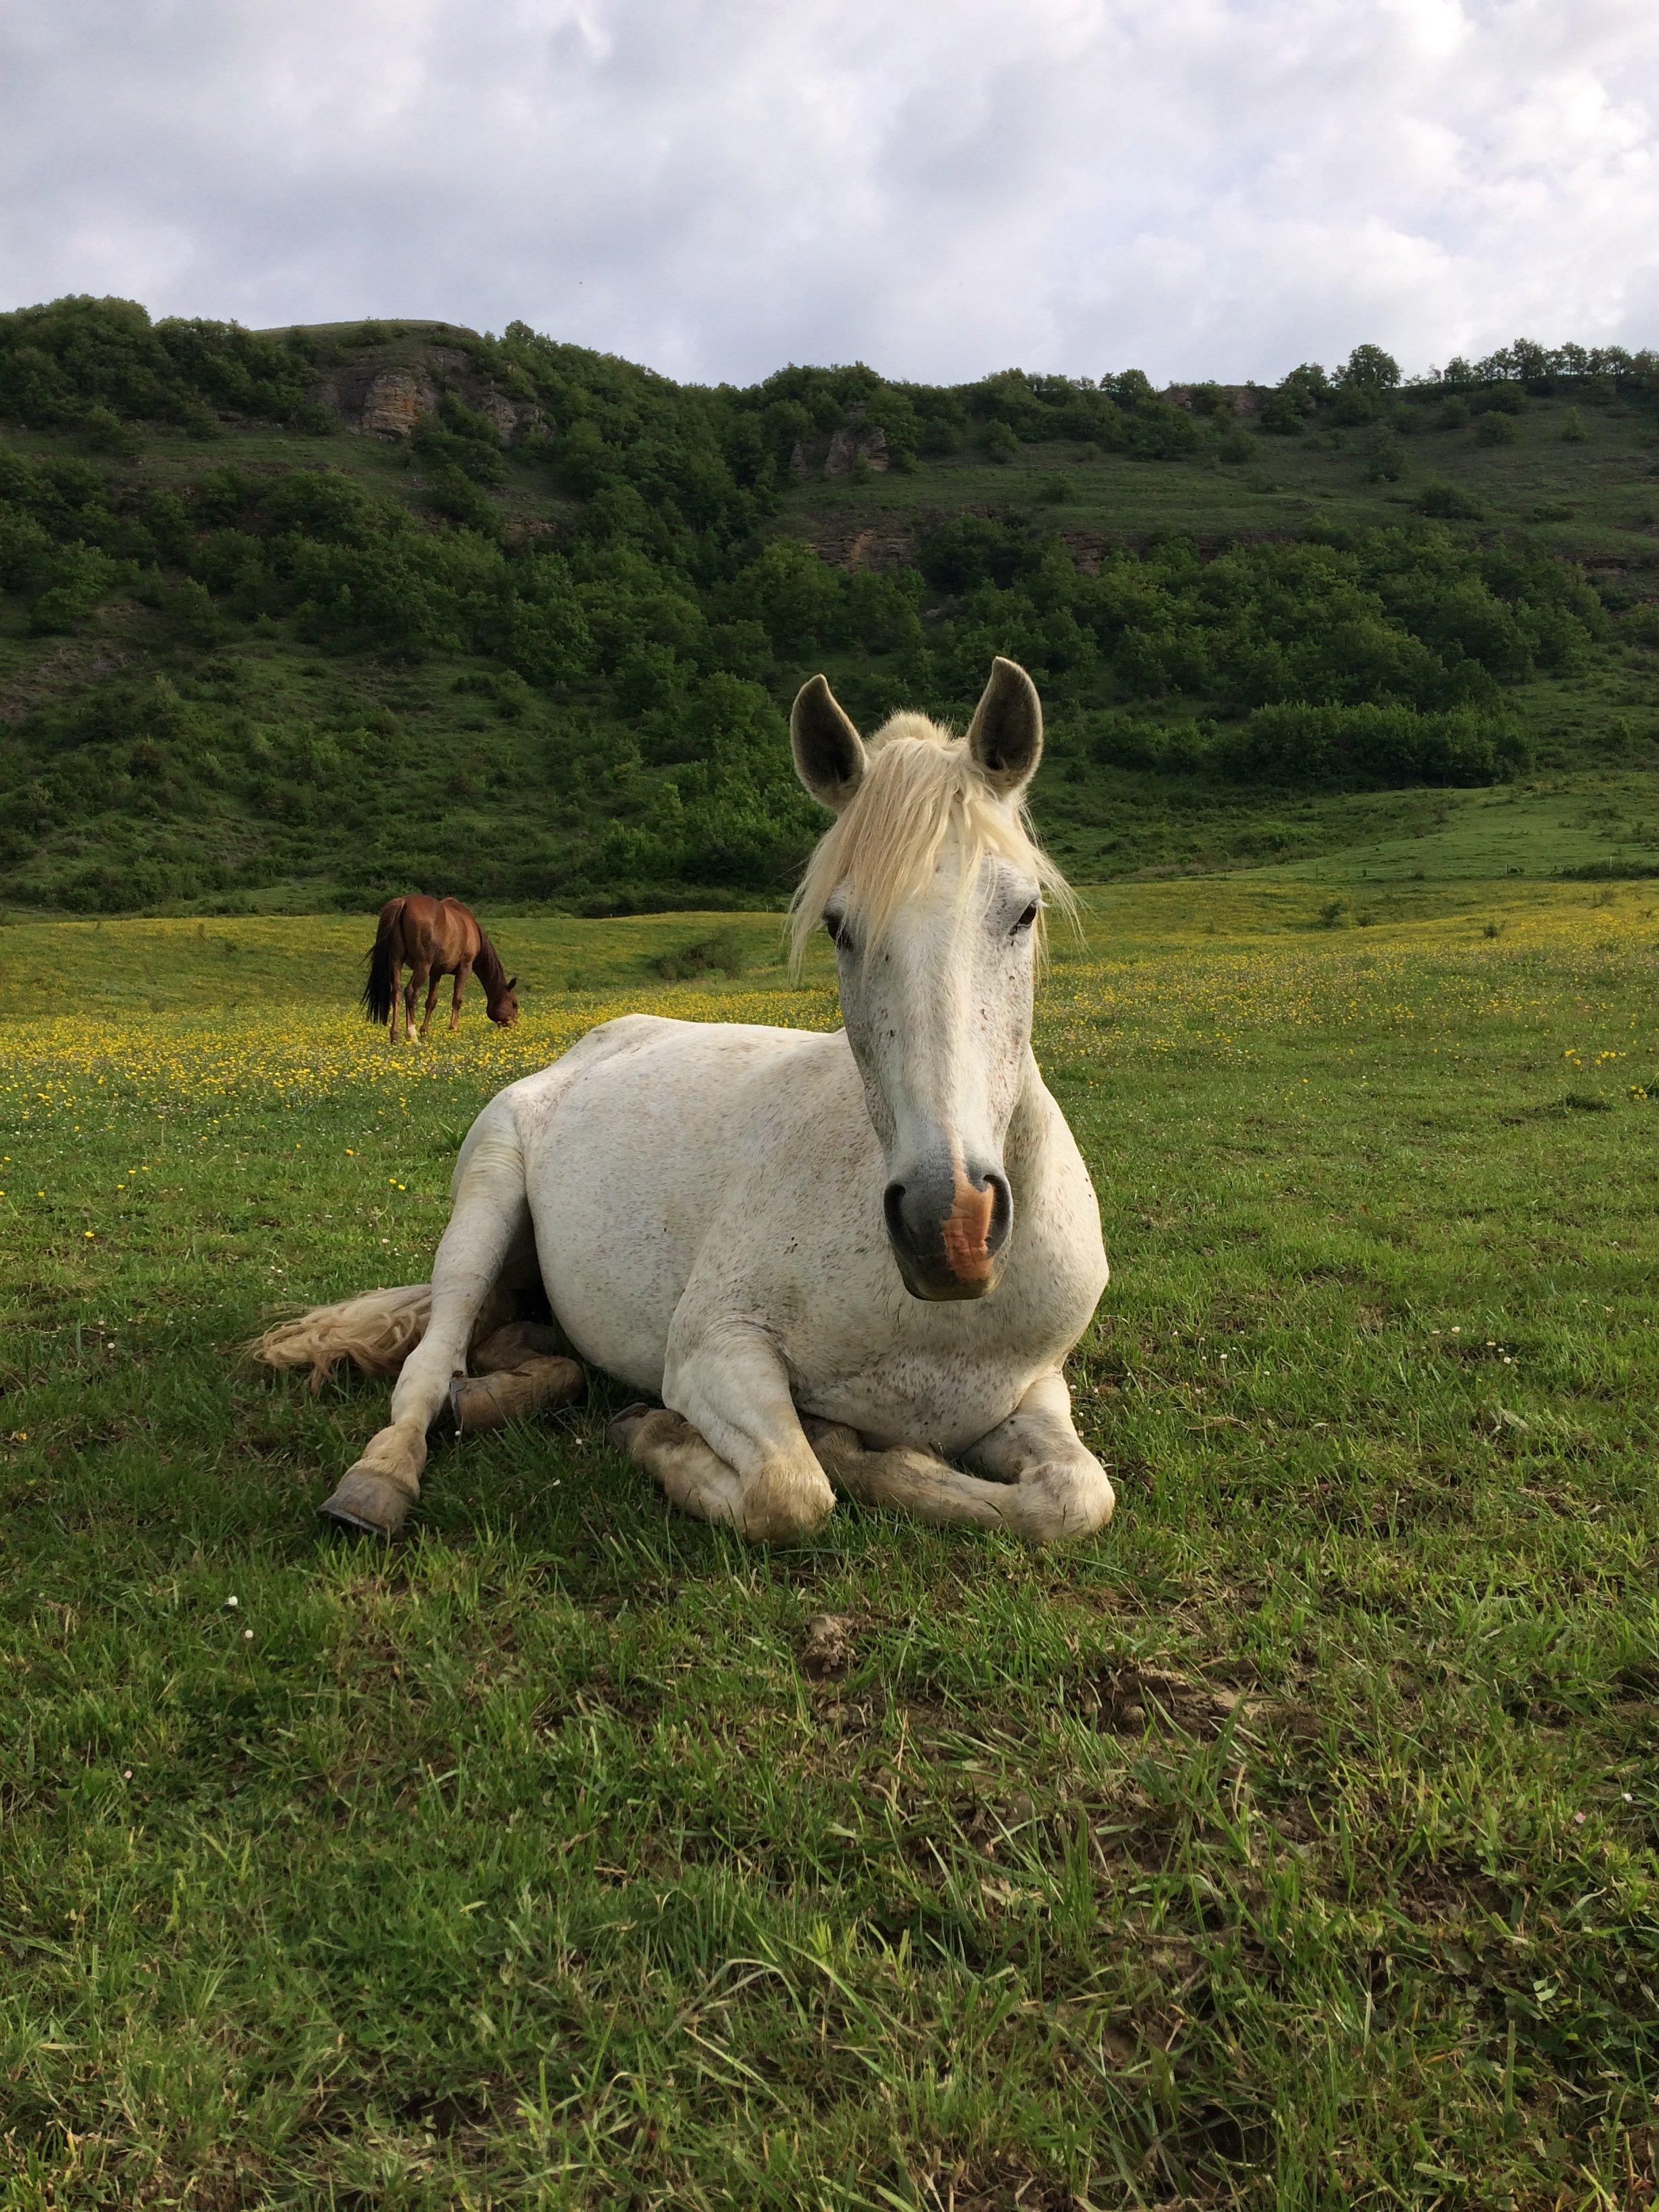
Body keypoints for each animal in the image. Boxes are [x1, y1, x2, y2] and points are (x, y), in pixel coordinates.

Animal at [360, 894, 519, 1044]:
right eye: (514, 1004)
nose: (514, 1026)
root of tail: (403, 902)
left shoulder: (436, 973)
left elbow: (431, 1002)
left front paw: (425, 1031)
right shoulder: (465, 967)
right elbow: (457, 1000)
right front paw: (453, 1029)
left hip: (396, 960)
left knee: (396, 991)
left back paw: (395, 1036)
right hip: (423, 965)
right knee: (411, 993)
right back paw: (412, 1035)